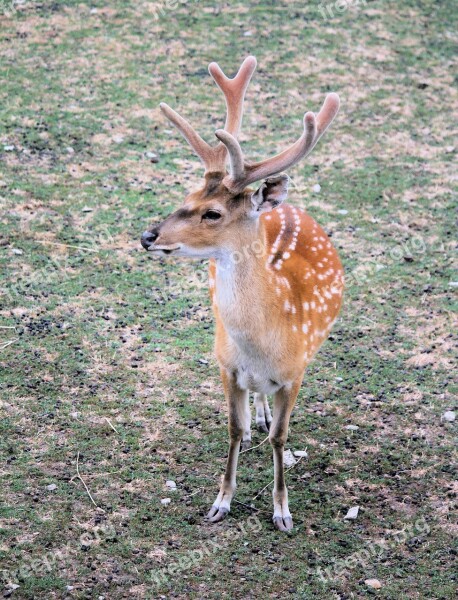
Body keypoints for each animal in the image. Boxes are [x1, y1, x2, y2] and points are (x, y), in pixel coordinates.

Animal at [142, 58, 344, 532]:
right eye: (187, 195)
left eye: (212, 213)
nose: (147, 236)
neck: (264, 344)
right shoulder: (225, 364)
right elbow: (233, 429)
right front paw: (221, 501)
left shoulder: (295, 372)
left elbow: (282, 438)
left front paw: (283, 511)